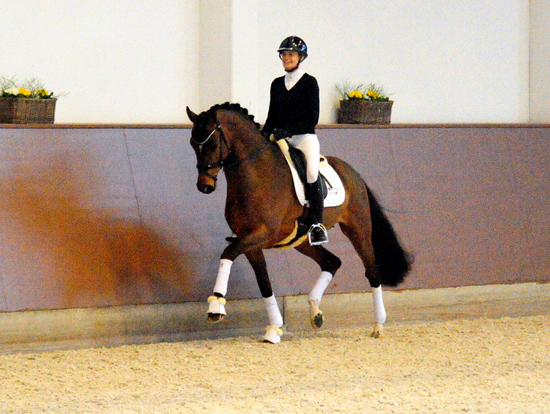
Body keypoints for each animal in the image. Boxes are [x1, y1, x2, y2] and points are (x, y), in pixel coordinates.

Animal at [188, 102, 412, 342]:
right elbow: (263, 282)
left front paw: (216, 306)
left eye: (211, 143)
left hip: (358, 230)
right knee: (331, 262)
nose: (205, 186)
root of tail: (354, 174)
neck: (257, 174)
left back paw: (378, 325)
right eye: (192, 143)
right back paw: (315, 312)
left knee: (371, 271)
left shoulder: (263, 234)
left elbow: (228, 253)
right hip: (303, 241)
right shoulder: (249, 242)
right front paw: (274, 328)